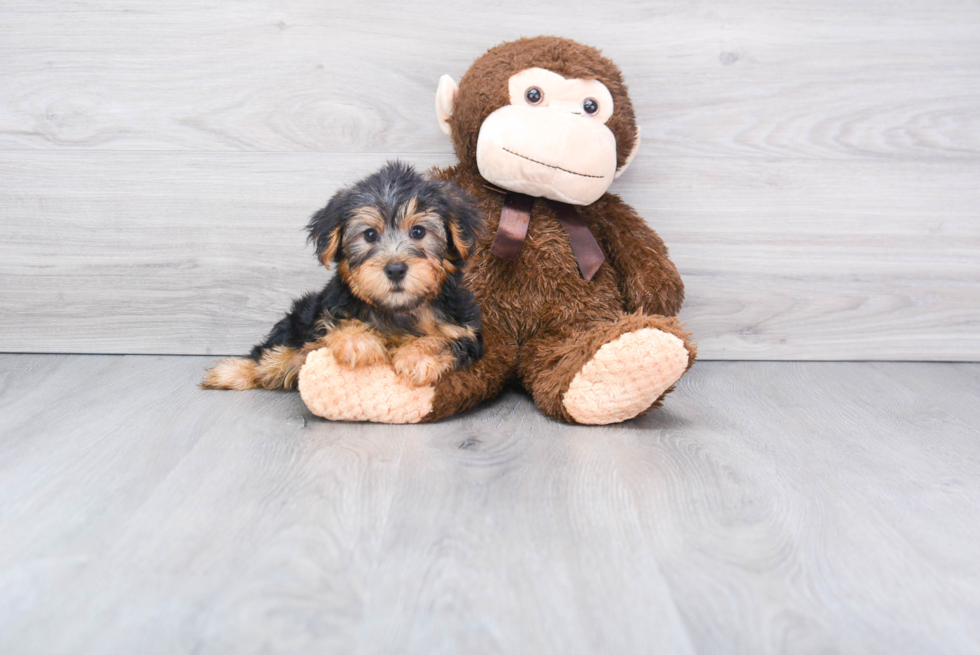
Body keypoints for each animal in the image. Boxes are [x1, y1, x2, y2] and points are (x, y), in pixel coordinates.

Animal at [202, 161, 486, 392]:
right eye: (370, 235)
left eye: (418, 232)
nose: (395, 269)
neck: (396, 310)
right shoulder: (328, 309)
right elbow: (337, 322)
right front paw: (358, 342)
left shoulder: (466, 331)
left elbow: (442, 340)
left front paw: (416, 357)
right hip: (297, 320)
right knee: (276, 353)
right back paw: (231, 372)